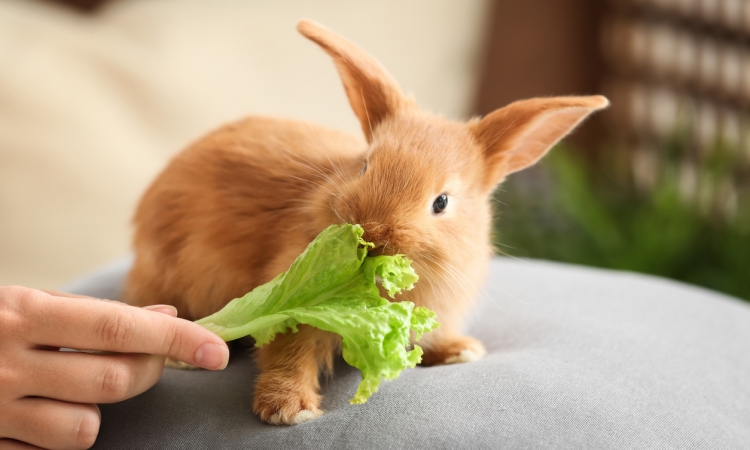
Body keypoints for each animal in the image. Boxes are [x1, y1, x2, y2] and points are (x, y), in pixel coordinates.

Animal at [122, 18, 604, 426]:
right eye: (366, 166)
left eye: (442, 202)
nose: (371, 234)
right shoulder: (290, 303)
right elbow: (288, 353)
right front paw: (289, 410)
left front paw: (461, 351)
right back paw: (181, 355)